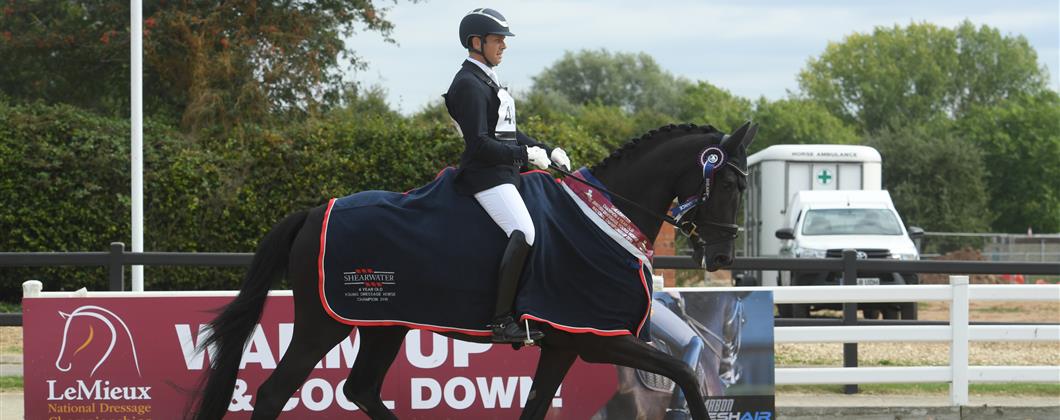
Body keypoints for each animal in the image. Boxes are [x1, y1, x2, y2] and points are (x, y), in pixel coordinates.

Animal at [190, 120, 754, 415]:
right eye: (728, 184)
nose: (723, 259)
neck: (606, 216)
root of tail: (313, 213)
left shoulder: (565, 345)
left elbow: (536, 405)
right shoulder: (600, 338)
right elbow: (686, 375)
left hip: (385, 324)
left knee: (360, 389)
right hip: (321, 324)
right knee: (274, 392)